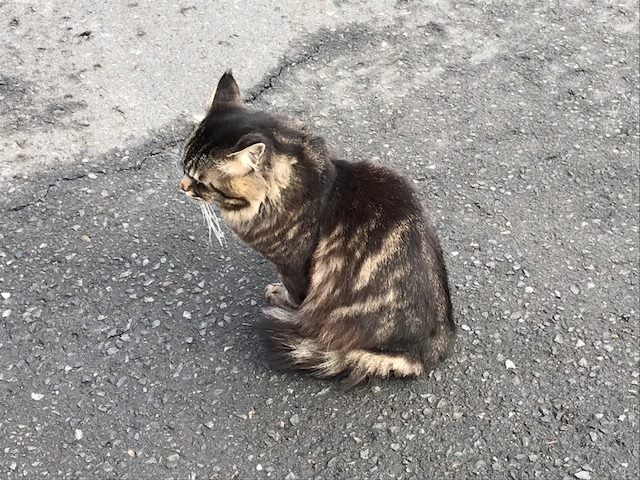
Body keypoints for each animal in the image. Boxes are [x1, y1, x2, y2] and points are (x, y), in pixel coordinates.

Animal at [180, 71, 456, 386]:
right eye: (183, 165)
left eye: (200, 181)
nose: (182, 186)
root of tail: (431, 348)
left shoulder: (294, 265)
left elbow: (294, 293)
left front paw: (280, 297)